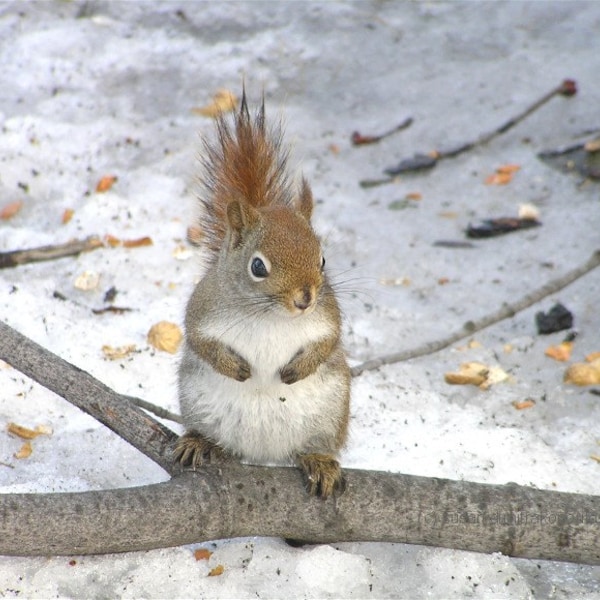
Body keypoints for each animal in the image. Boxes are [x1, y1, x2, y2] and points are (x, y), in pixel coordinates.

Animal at [173, 92, 350, 496]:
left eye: (322, 259)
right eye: (257, 267)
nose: (305, 299)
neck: (270, 316)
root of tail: (263, 454)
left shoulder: (327, 316)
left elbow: (328, 343)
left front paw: (296, 369)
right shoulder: (202, 310)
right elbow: (201, 342)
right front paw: (235, 368)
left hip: (330, 416)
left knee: (315, 446)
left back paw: (319, 461)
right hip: (198, 404)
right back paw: (200, 441)